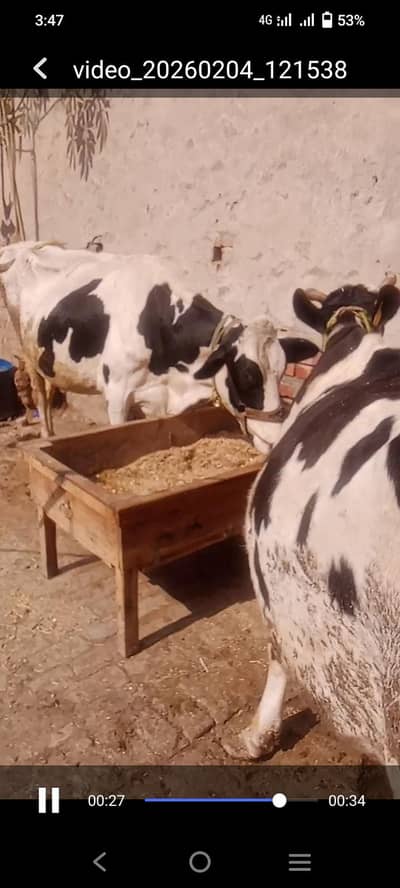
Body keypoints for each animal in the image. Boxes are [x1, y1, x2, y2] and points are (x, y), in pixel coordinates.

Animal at [0, 240, 318, 445]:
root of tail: (27, 246)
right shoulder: (116, 395)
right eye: (248, 375)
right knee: (38, 389)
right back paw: (46, 435)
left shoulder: (159, 398)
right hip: (26, 345)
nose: (275, 437)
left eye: (281, 372)